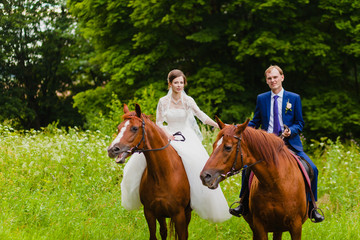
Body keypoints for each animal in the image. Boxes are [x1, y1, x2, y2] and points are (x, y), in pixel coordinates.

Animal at [107, 104, 191, 240]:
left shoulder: (179, 215)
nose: (112, 150)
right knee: (164, 231)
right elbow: (154, 235)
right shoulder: (150, 212)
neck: (163, 175)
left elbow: (182, 235)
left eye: (134, 128)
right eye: (119, 128)